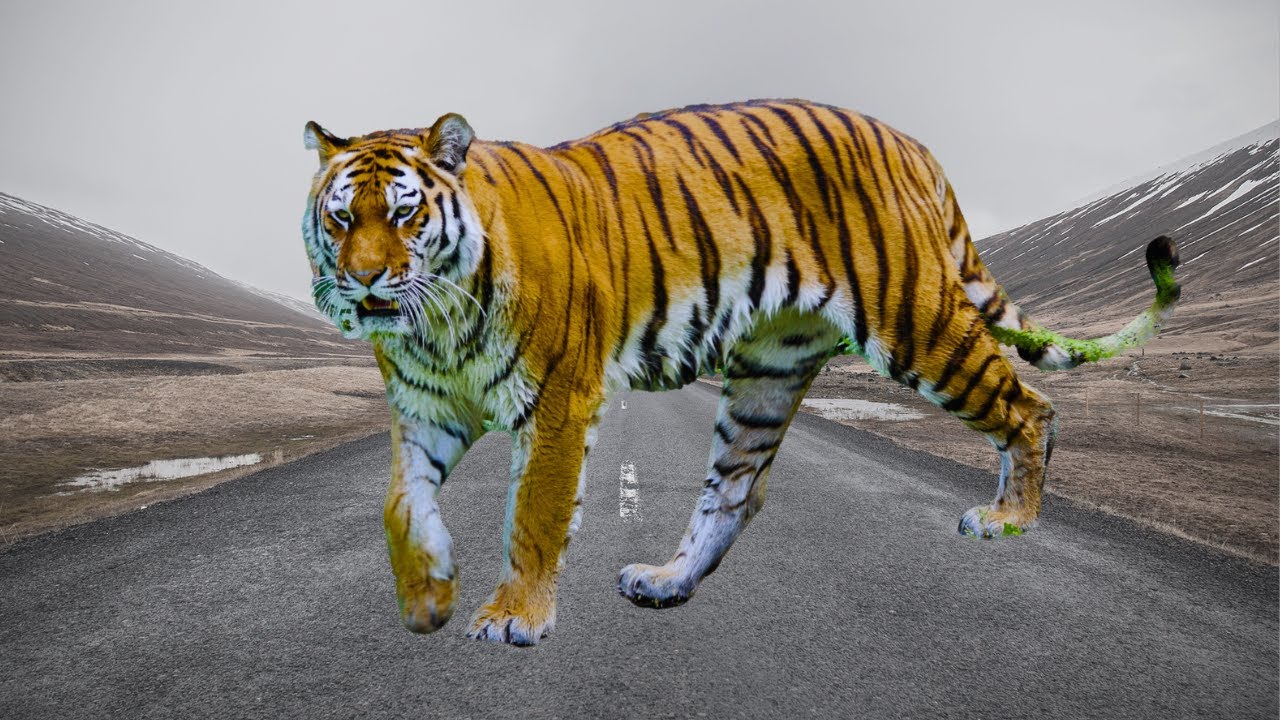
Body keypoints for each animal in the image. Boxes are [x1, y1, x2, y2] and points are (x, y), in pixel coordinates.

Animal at [301, 99, 1180, 646]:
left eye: (405, 213)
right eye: (341, 218)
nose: (366, 282)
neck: (434, 328)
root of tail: (910, 142)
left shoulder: (555, 402)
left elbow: (534, 517)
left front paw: (515, 616)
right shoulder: (423, 412)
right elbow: (398, 508)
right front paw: (428, 597)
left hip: (918, 325)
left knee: (1029, 407)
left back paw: (1009, 520)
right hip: (767, 369)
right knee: (737, 491)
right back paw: (666, 581)